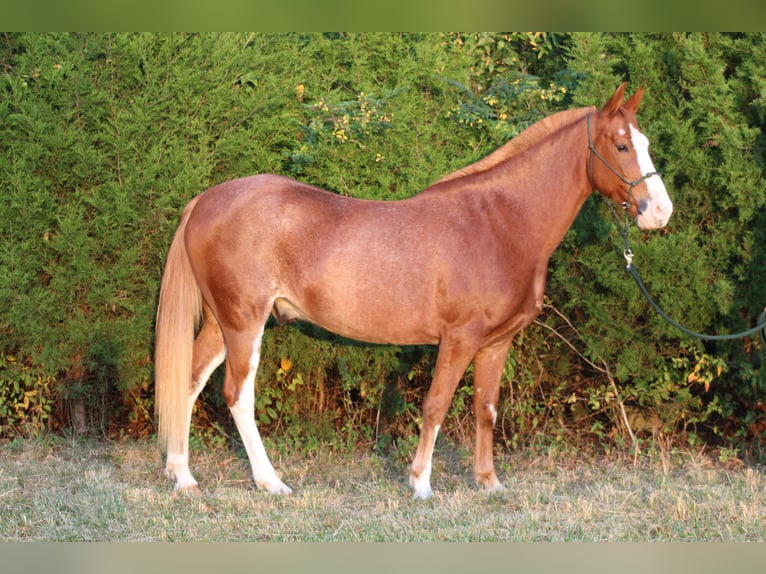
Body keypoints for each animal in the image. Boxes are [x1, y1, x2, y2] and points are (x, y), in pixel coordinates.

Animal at [154, 83, 672, 502]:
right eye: (621, 144)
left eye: (645, 143)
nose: (659, 212)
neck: (501, 221)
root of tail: (205, 200)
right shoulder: (459, 338)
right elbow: (437, 403)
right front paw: (420, 482)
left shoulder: (496, 342)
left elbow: (486, 408)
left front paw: (489, 483)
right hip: (246, 324)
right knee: (238, 396)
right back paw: (270, 482)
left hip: (222, 324)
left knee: (189, 380)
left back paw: (183, 477)